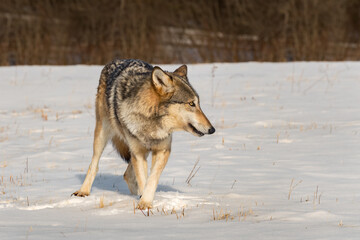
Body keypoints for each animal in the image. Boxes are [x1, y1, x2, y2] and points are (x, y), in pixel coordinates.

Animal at [71, 59, 215, 209]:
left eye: (198, 103)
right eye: (191, 104)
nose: (212, 129)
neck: (151, 122)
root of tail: (115, 60)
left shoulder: (162, 151)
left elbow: (151, 180)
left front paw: (144, 201)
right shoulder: (138, 153)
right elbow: (143, 179)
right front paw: (144, 204)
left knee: (127, 175)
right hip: (102, 135)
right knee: (94, 164)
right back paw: (83, 191)